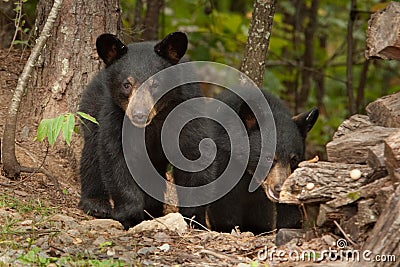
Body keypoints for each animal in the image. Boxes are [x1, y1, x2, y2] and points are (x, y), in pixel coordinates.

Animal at [77, 31, 212, 230]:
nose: (139, 114)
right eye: (126, 84)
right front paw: (129, 216)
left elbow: (193, 157)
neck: (154, 123)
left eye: (155, 85)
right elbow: (116, 160)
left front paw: (195, 219)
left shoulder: (185, 112)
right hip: (92, 111)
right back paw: (97, 204)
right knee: (92, 155)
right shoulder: (115, 118)